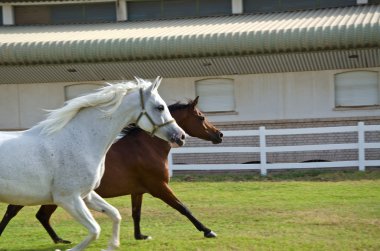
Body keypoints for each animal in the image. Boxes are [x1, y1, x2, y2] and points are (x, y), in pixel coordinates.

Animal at [0, 97, 223, 244]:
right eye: (201, 117)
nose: (219, 135)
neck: (145, 147)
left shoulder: (138, 191)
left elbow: (136, 213)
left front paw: (140, 236)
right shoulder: (159, 187)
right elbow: (183, 208)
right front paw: (208, 231)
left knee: (41, 216)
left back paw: (60, 240)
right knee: (19, 213)